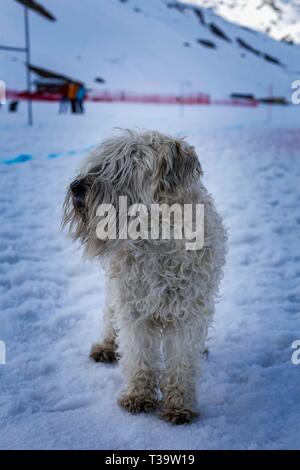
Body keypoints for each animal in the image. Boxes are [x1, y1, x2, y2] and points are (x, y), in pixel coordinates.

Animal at [63, 130, 227, 424]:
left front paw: (179, 406)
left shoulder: (189, 313)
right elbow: (138, 354)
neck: (158, 236)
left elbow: (182, 361)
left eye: (124, 168)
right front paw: (138, 396)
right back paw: (106, 346)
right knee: (109, 318)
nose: (76, 186)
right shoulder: (133, 309)